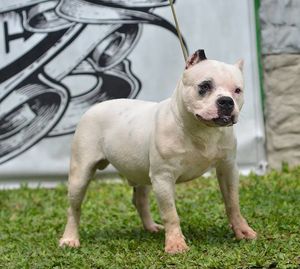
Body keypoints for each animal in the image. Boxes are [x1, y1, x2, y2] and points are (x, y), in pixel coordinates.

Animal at [59, 49, 256, 252]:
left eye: (237, 90)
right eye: (205, 86)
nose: (226, 101)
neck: (201, 130)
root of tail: (95, 107)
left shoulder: (227, 168)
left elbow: (233, 203)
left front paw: (242, 231)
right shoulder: (164, 177)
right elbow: (171, 213)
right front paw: (175, 243)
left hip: (142, 173)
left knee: (140, 200)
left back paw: (151, 227)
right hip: (80, 173)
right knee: (74, 208)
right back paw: (70, 239)